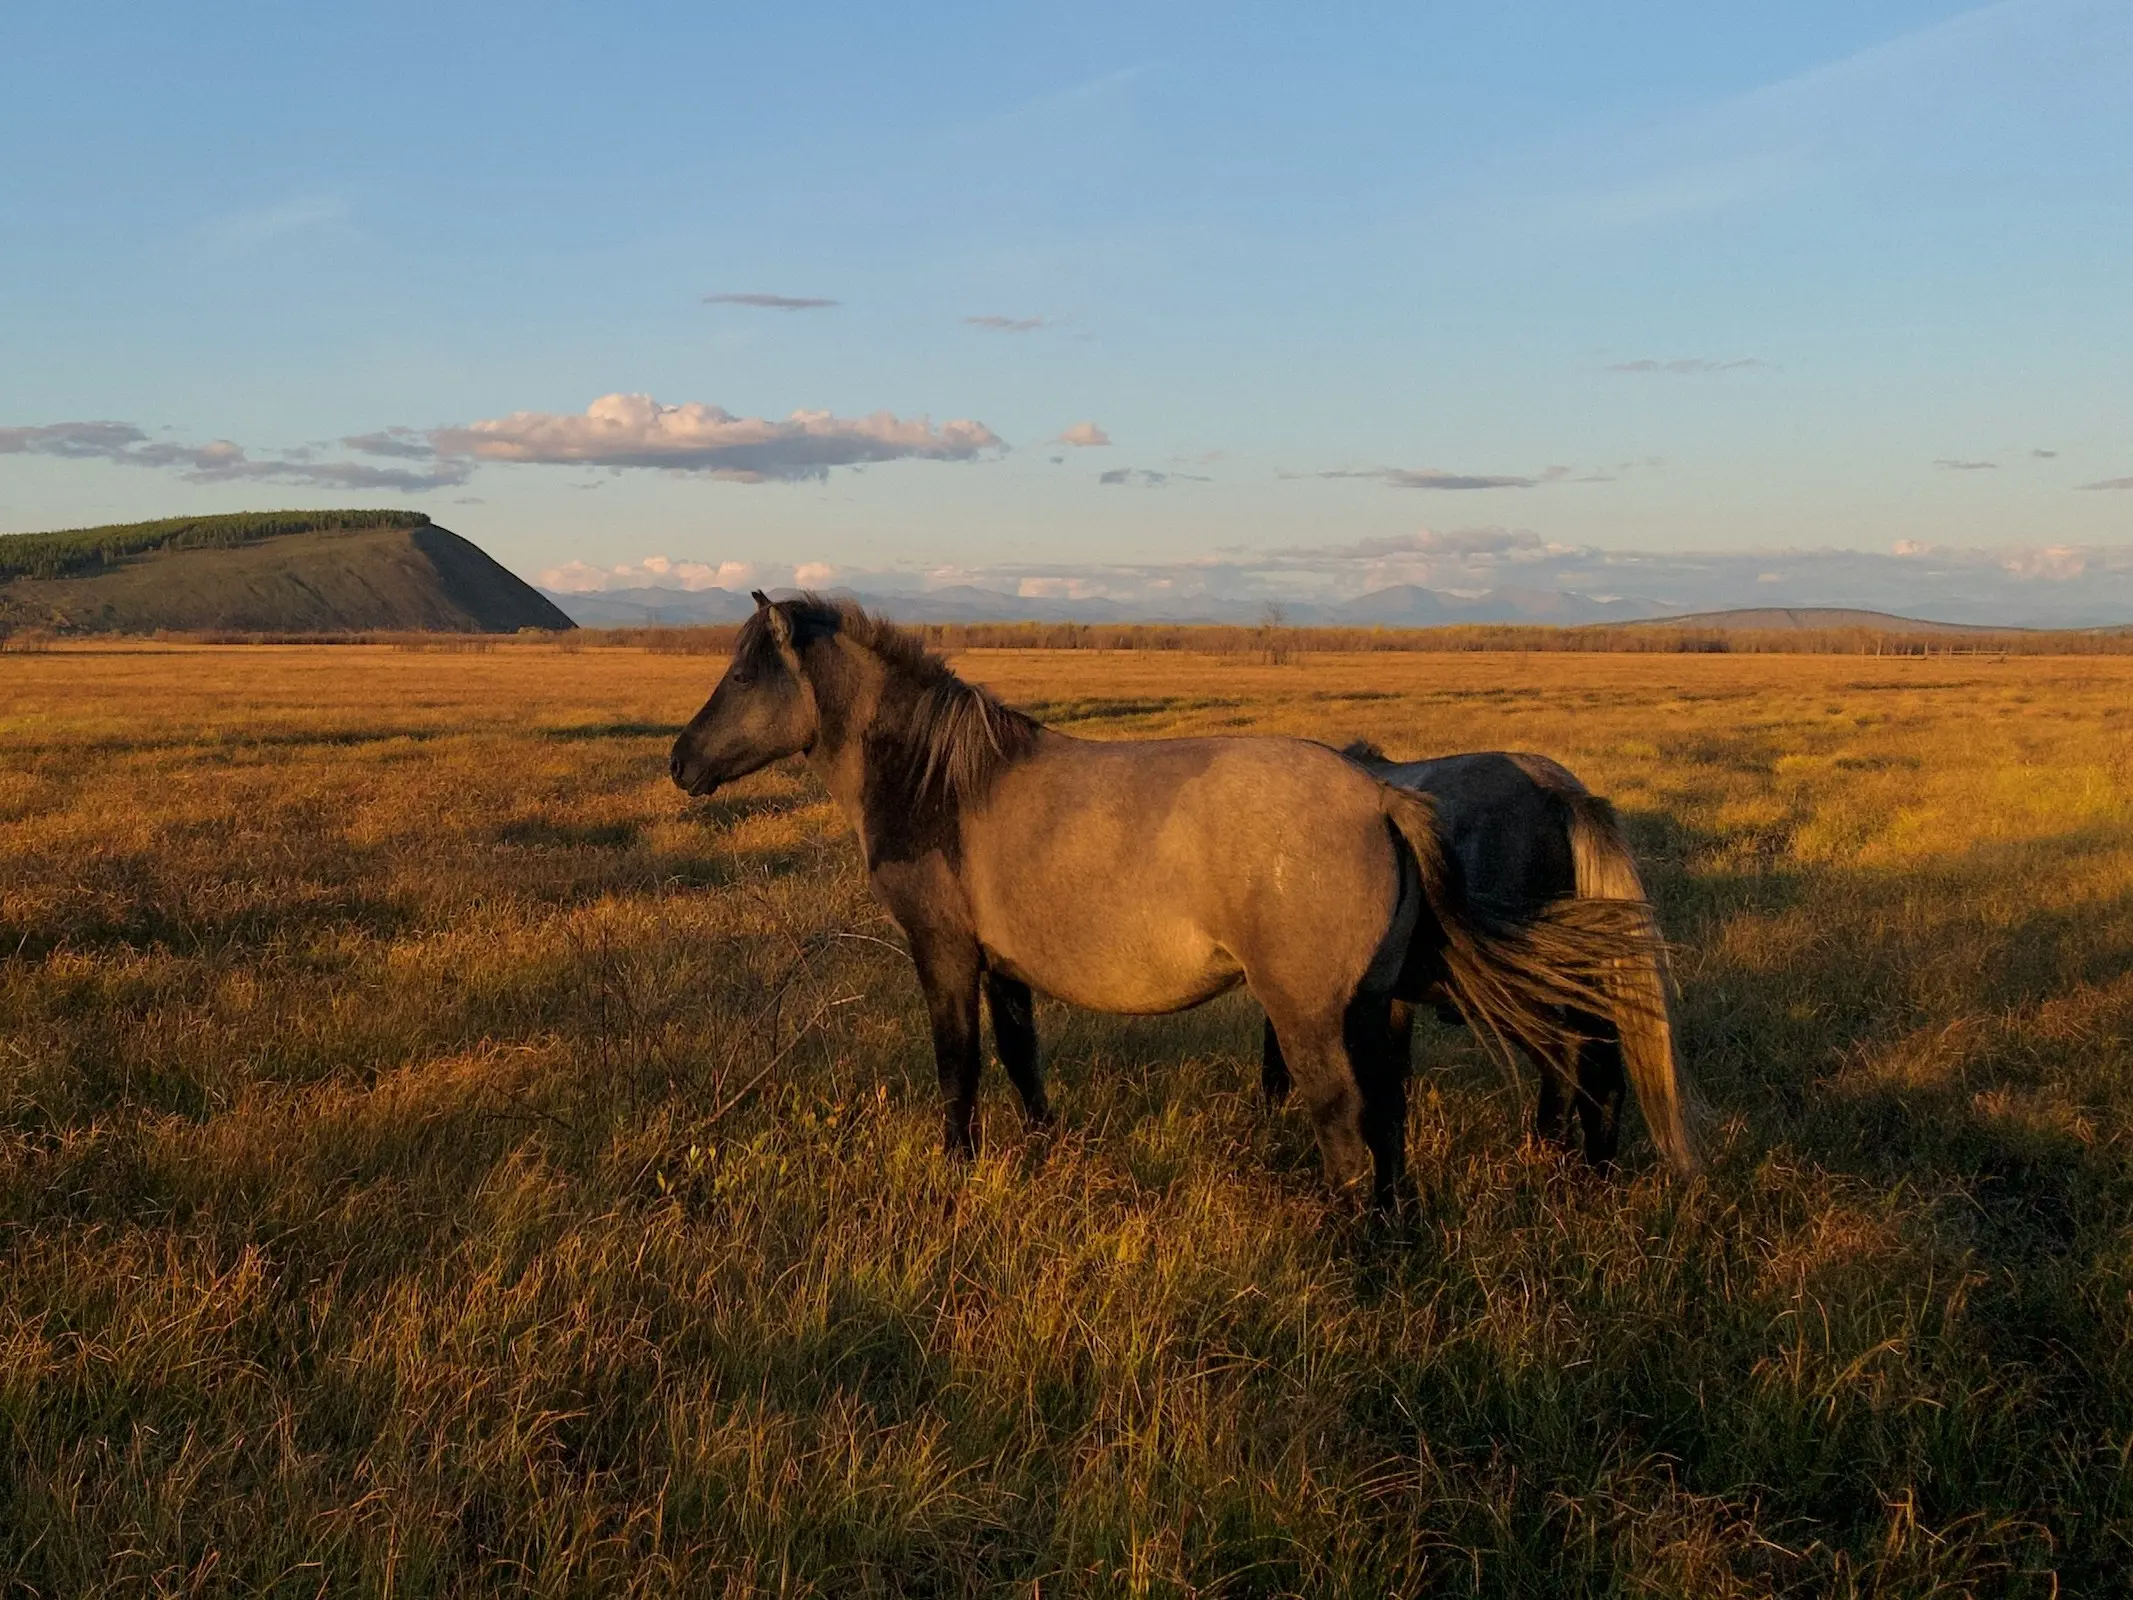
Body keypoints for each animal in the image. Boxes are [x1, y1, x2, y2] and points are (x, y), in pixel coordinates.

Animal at [1262, 742, 1697, 1177]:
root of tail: (1561, 793)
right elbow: (1395, 1069)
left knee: (1567, 1058)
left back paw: (1544, 1159)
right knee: (1603, 1079)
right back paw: (1593, 1176)